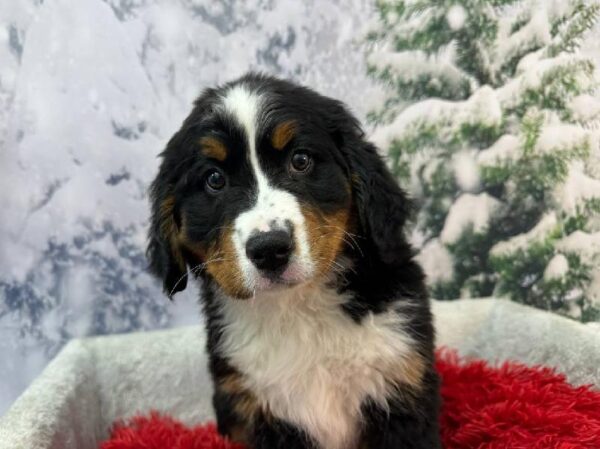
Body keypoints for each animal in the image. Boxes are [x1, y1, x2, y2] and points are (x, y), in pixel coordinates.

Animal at [146, 73, 440, 448]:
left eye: (300, 161)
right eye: (214, 179)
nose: (270, 248)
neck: (298, 307)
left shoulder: (400, 383)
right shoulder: (258, 412)